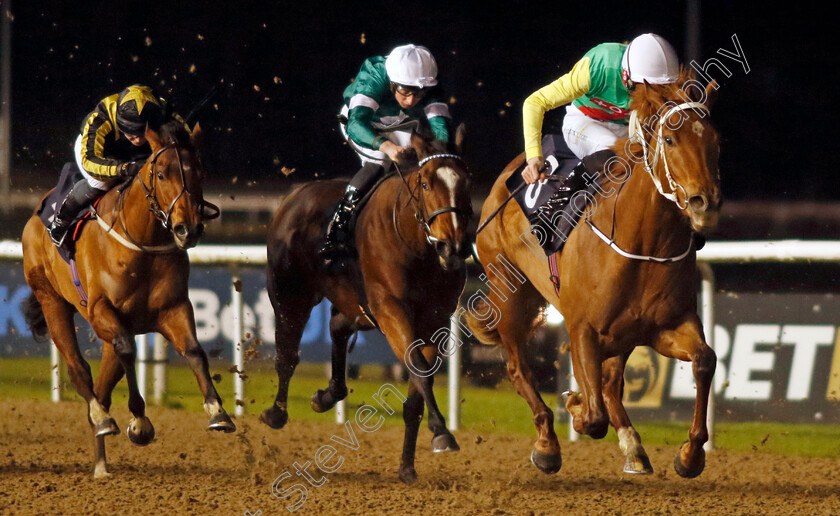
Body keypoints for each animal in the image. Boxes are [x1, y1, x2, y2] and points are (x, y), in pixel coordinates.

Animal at [21, 121, 235, 480]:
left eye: (200, 172)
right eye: (161, 174)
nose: (188, 229)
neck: (142, 242)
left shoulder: (174, 308)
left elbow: (194, 351)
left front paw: (218, 411)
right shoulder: (100, 311)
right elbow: (127, 351)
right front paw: (140, 422)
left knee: (104, 386)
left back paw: (101, 462)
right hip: (52, 302)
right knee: (81, 371)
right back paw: (102, 421)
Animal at [262, 128, 472, 484]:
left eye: (466, 182)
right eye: (426, 184)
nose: (453, 246)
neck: (416, 246)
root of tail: (294, 194)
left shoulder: (436, 319)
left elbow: (417, 386)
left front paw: (408, 465)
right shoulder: (390, 308)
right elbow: (417, 369)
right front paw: (442, 431)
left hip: (353, 304)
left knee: (336, 328)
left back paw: (327, 395)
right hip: (289, 293)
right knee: (287, 354)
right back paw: (276, 412)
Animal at [462, 70, 720, 478]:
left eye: (714, 140)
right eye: (669, 139)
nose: (703, 202)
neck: (642, 244)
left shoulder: (665, 324)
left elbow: (704, 360)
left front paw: (691, 453)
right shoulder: (582, 327)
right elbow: (594, 414)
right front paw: (575, 407)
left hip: (622, 334)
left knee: (612, 384)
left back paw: (633, 447)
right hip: (511, 292)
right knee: (519, 368)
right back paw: (548, 443)